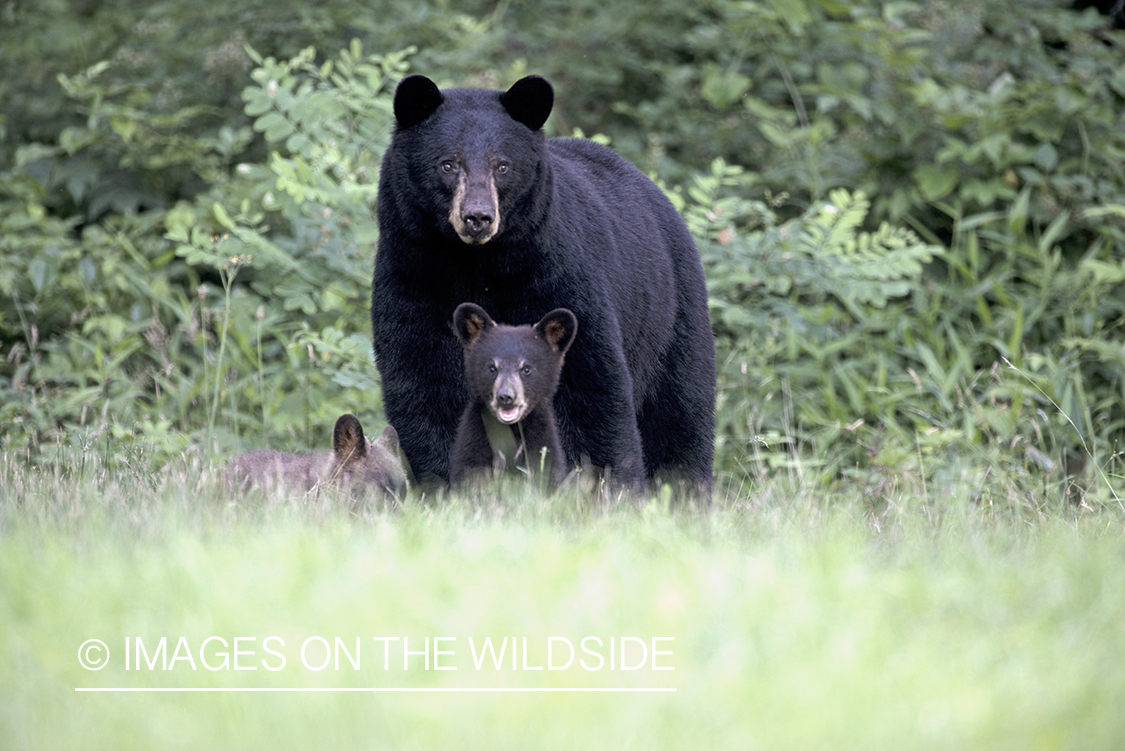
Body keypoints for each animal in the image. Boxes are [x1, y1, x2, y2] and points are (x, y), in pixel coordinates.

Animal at [447, 301, 576, 483]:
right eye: (492, 368)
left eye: (526, 369)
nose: (506, 397)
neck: (512, 429)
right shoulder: (474, 440)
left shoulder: (542, 439)